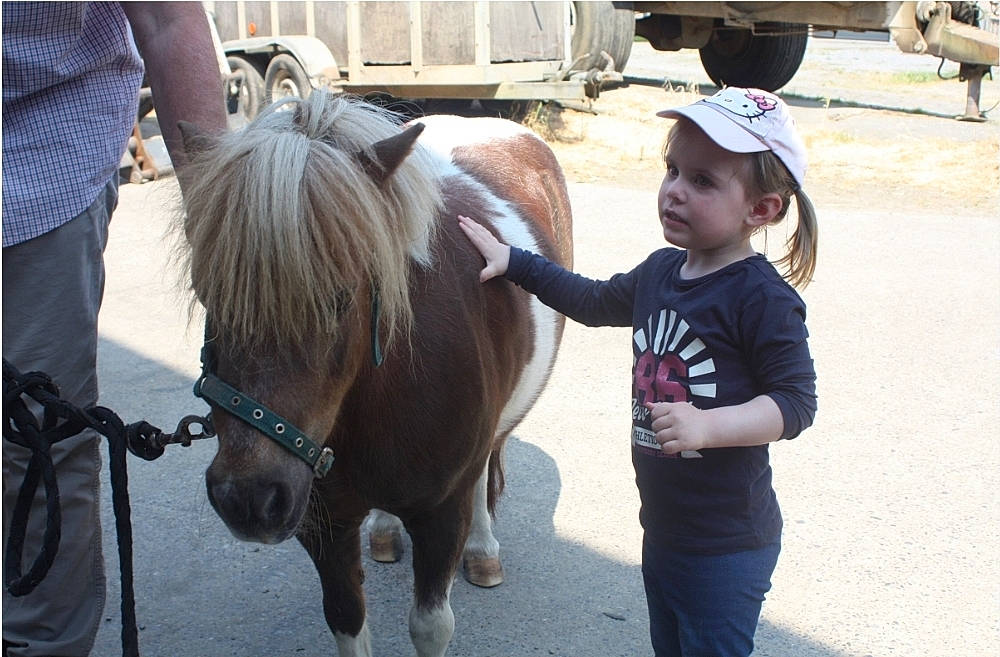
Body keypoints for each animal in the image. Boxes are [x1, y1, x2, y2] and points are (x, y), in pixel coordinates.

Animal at [175, 91, 573, 657]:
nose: (248, 500)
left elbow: (431, 625)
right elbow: (345, 614)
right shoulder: (323, 523)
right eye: (207, 293)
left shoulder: (441, 515)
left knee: (484, 467)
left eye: (340, 297)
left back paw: (483, 551)